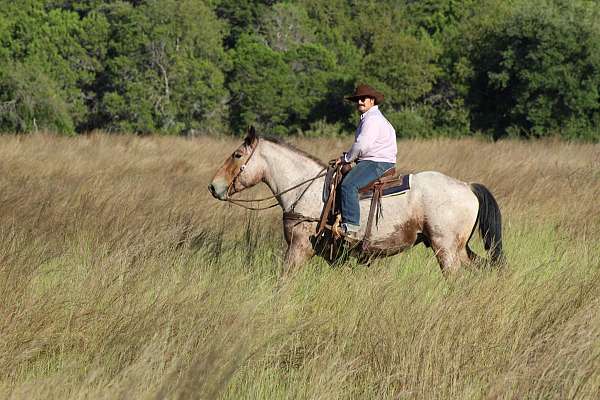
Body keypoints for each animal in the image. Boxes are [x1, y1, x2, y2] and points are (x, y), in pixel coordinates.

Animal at [206, 128, 502, 276]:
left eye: (237, 154)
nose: (213, 186)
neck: (305, 188)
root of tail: (467, 186)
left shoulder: (299, 247)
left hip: (446, 249)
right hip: (458, 249)